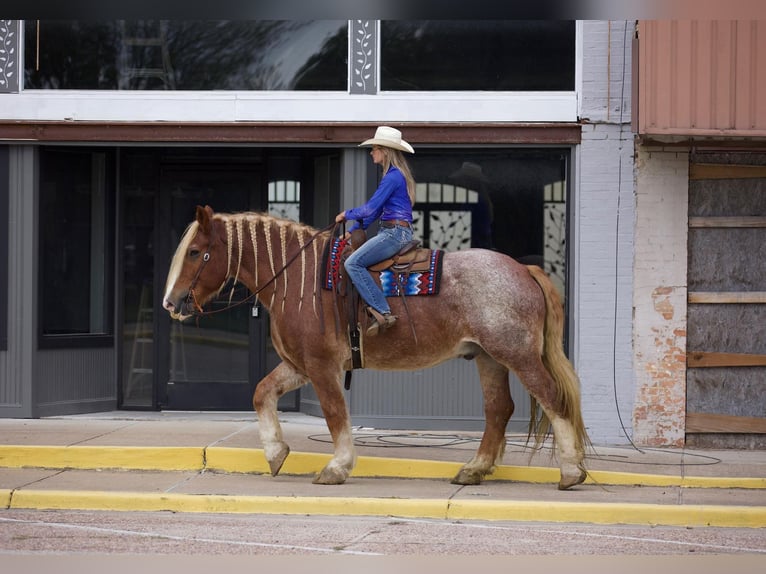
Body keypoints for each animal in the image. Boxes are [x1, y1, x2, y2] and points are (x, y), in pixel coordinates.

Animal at [165, 206, 592, 490]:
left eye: (195, 252)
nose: (172, 303)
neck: (299, 279)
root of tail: (523, 269)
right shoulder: (299, 365)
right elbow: (261, 393)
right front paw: (275, 453)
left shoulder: (322, 367)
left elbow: (335, 415)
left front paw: (337, 467)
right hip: (488, 358)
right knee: (499, 409)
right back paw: (474, 469)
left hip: (517, 355)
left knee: (552, 399)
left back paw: (571, 471)